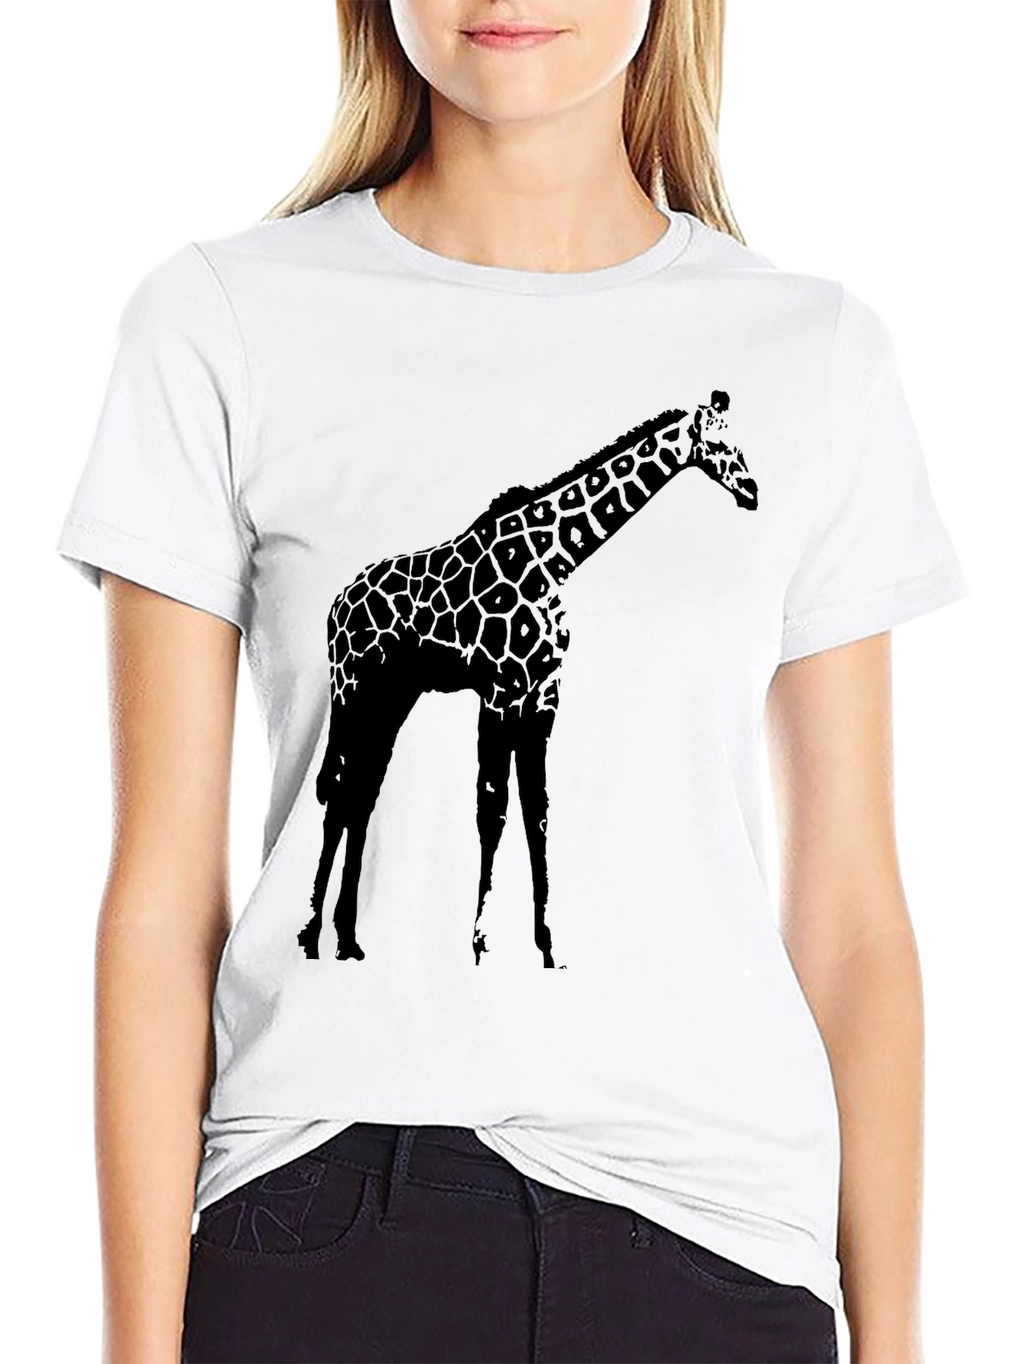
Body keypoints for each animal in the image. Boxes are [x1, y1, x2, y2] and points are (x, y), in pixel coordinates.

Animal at [297, 391, 758, 967]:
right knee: (339, 795)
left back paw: (347, 939)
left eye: (739, 439)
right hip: (353, 690)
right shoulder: (500, 690)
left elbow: (536, 811)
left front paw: (547, 945)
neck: (553, 561)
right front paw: (480, 943)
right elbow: (491, 810)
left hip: (391, 699)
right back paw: (312, 935)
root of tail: (336, 603)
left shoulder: (542, 693)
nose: (752, 491)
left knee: (360, 796)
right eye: (717, 444)